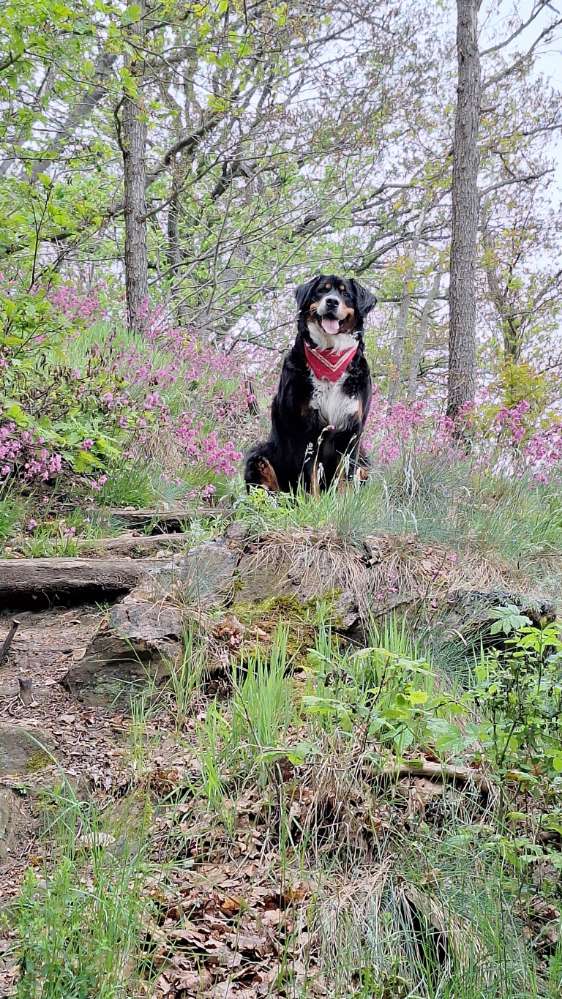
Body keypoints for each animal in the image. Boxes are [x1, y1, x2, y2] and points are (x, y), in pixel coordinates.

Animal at [243, 276, 374, 494]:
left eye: (345, 293)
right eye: (322, 290)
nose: (332, 302)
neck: (329, 354)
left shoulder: (352, 431)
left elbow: (345, 477)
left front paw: (344, 500)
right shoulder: (304, 430)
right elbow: (309, 478)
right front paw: (313, 501)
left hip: (364, 462)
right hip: (260, 455)